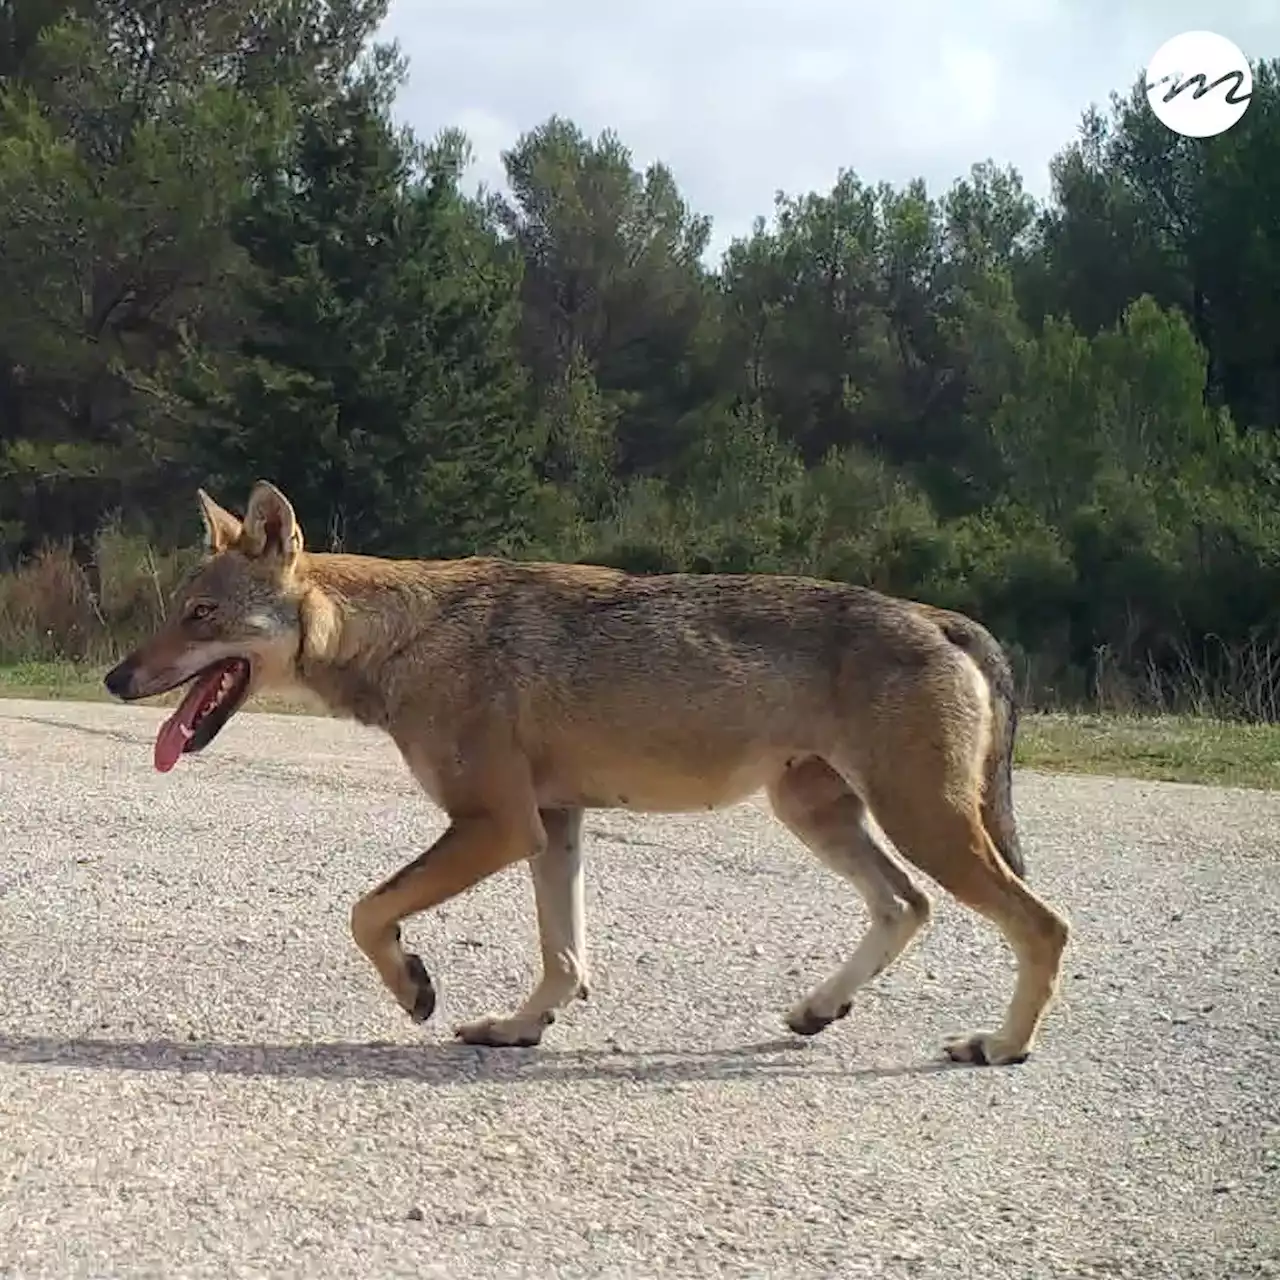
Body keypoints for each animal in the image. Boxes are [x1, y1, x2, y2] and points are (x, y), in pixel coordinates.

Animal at [104, 478, 1070, 1059]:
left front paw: (415, 987)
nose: (114, 679)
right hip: (821, 815)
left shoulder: (497, 826)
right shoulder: (554, 826)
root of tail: (939, 615)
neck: (402, 637)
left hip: (920, 823)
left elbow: (367, 912)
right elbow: (563, 958)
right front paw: (519, 1028)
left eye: (200, 615)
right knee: (907, 906)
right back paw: (818, 1008)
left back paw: (1001, 1047)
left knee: (1043, 926)